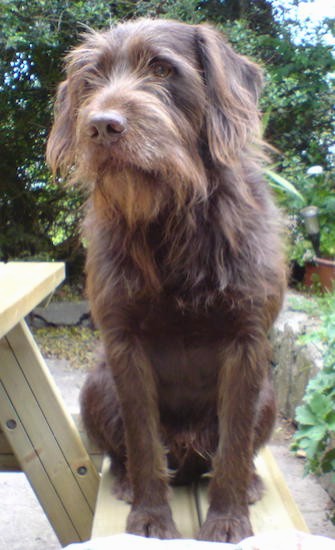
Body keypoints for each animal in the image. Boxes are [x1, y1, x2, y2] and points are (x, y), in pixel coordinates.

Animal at [47, 19, 286, 544]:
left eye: (161, 69)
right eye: (90, 80)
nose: (102, 125)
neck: (173, 218)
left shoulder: (246, 342)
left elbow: (235, 445)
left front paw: (227, 519)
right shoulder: (125, 345)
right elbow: (142, 440)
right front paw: (151, 517)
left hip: (268, 396)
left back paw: (249, 484)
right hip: (96, 387)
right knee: (127, 452)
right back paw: (125, 482)